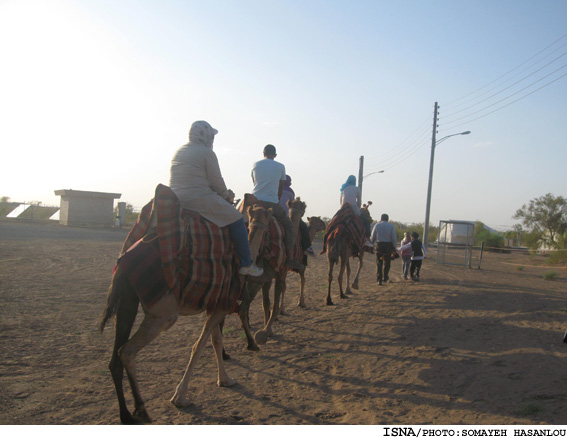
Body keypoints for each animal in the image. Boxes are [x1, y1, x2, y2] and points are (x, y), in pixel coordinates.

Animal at [98, 198, 272, 424]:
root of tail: (123, 261)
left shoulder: (216, 305)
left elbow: (216, 341)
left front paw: (225, 380)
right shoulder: (221, 305)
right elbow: (199, 345)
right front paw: (179, 398)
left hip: (126, 300)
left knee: (115, 359)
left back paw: (126, 414)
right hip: (162, 313)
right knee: (126, 351)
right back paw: (142, 409)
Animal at [236, 195, 306, 352]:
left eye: (301, 206)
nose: (298, 211)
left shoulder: (266, 278)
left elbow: (266, 304)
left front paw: (268, 329)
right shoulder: (280, 273)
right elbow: (273, 304)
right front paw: (266, 331)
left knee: (241, 308)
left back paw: (250, 343)